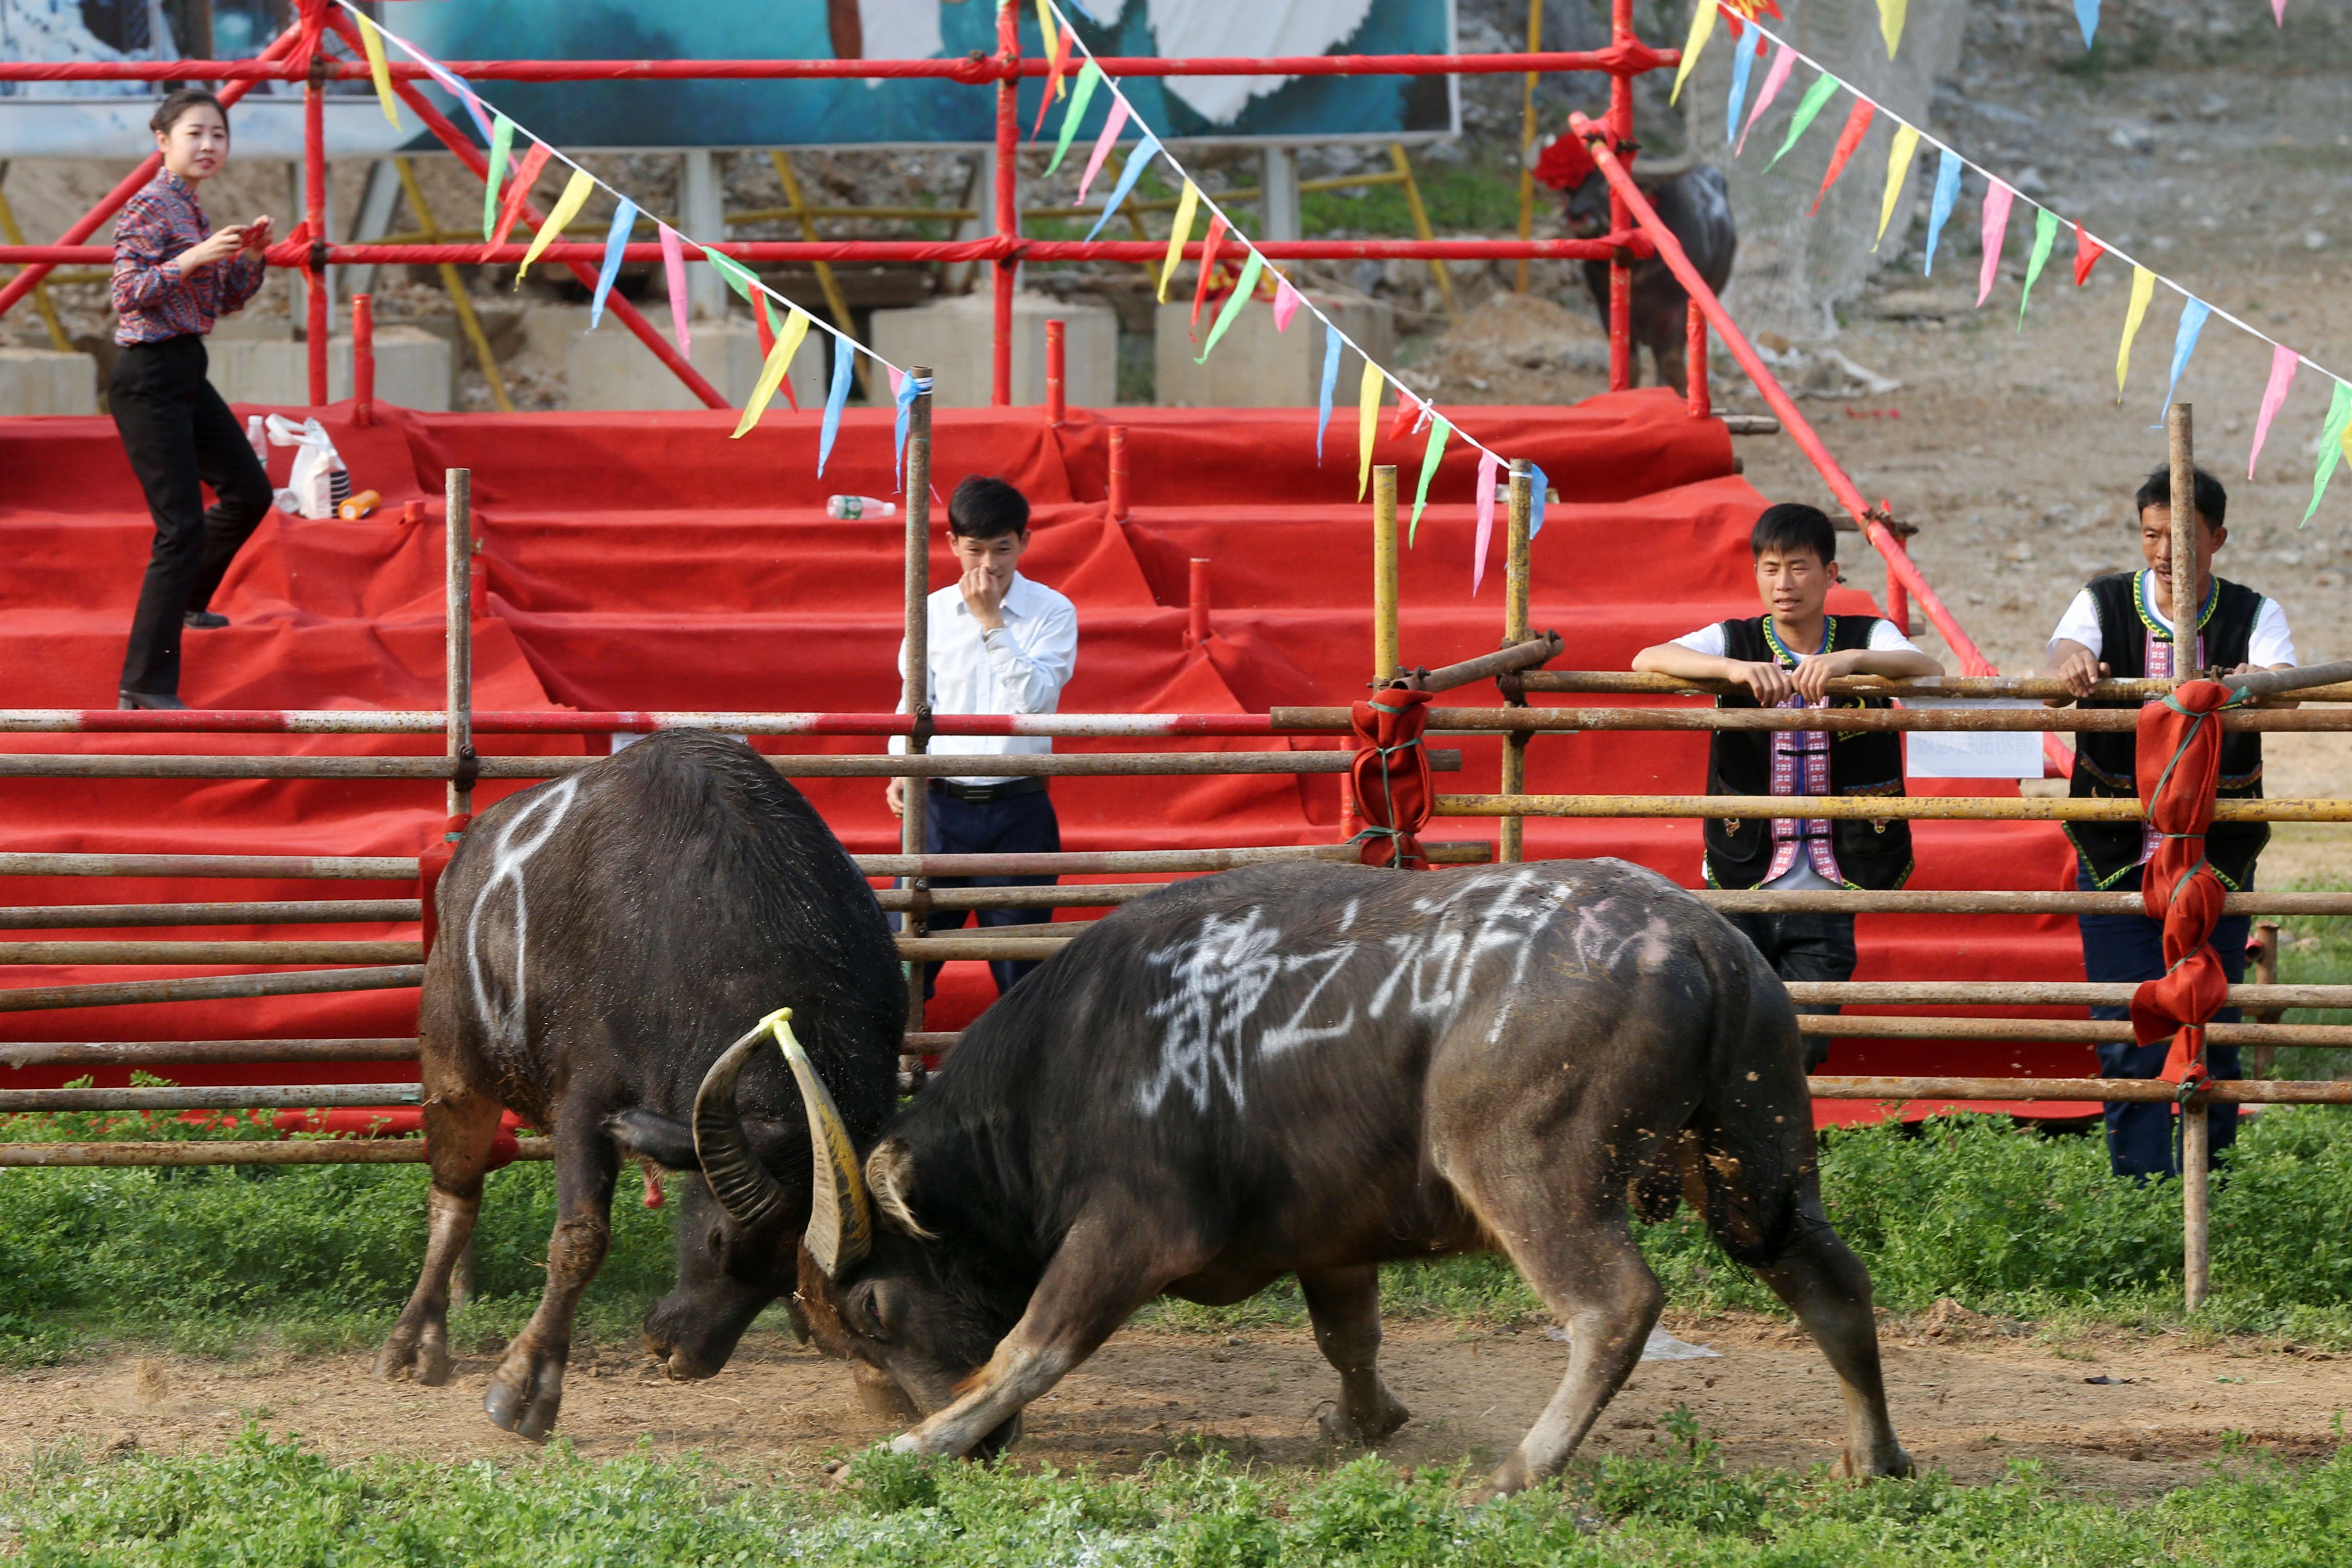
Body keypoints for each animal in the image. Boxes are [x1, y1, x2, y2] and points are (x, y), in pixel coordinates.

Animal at [372, 729, 903, 1438]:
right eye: (719, 1241)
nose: (684, 1353)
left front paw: (878, 1373)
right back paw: (414, 1341)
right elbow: (580, 1239)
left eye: (780, 1277)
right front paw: (526, 1383)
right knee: (455, 1201)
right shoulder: (586, 1101)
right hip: (454, 1071)